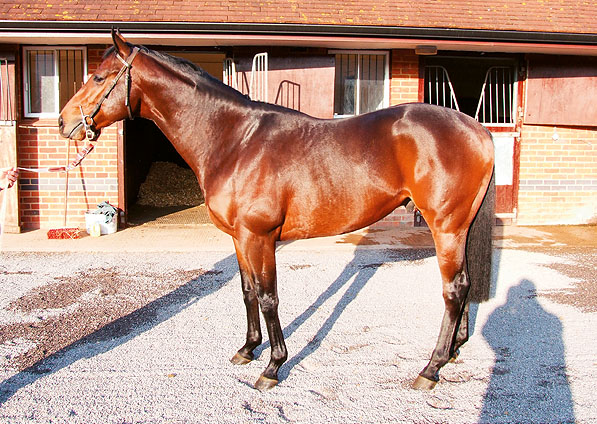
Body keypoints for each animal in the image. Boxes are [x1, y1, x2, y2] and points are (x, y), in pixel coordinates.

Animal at [58, 29, 494, 392]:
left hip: (446, 227)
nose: (64, 122)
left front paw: (272, 366)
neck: (234, 141)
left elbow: (269, 297)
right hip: (460, 228)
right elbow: (248, 291)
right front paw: (248, 349)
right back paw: (452, 352)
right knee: (465, 284)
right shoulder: (240, 238)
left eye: (100, 78)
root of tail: (478, 129)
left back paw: (430, 368)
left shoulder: (261, 236)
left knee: (453, 290)